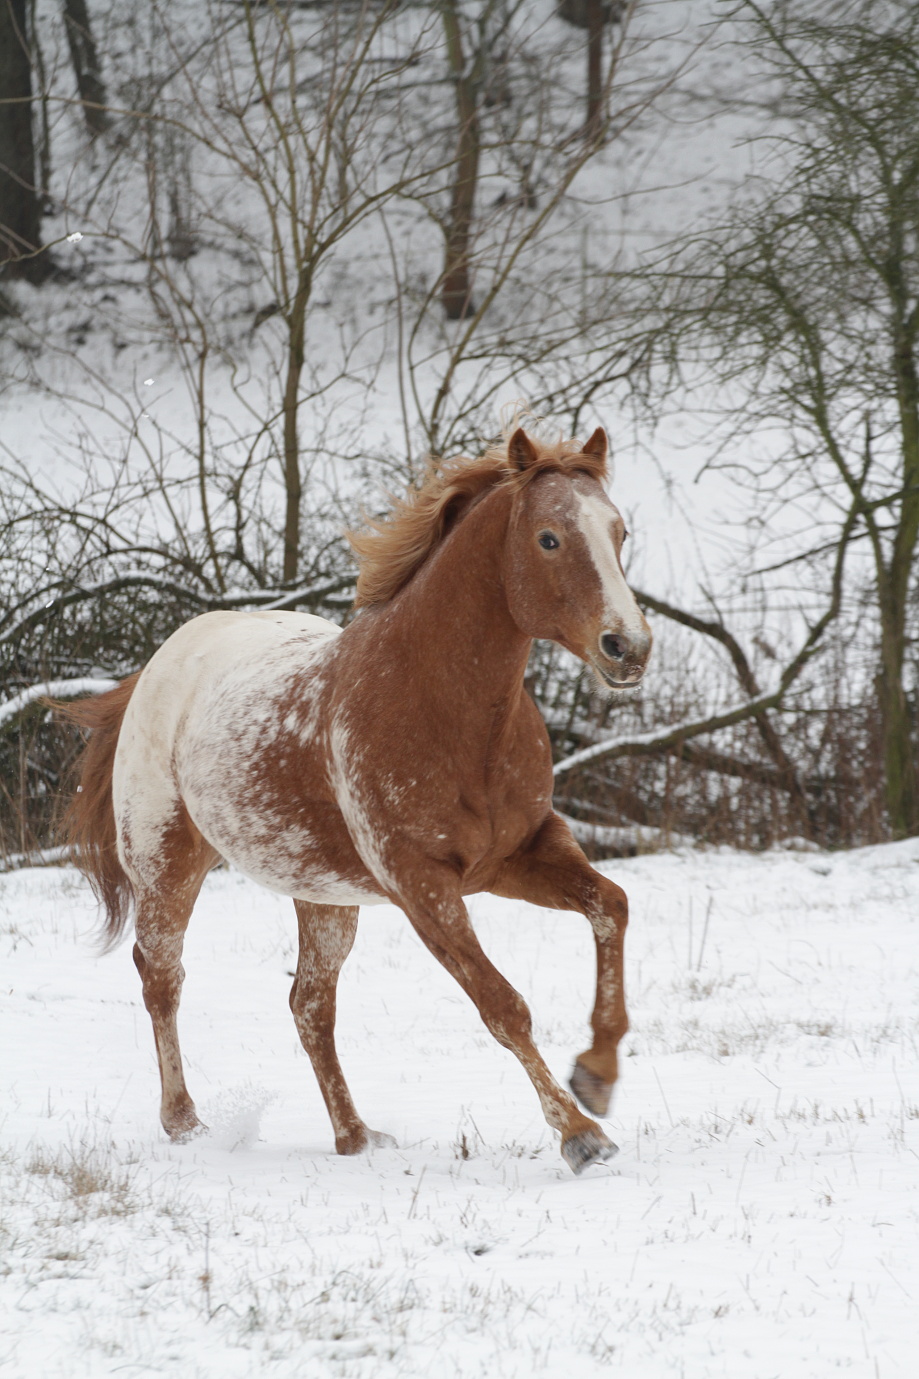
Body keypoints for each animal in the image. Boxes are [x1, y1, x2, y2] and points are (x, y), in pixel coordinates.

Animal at [62, 424, 651, 1169]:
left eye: (620, 530)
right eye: (549, 538)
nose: (628, 646)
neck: (445, 707)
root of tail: (156, 667)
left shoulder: (518, 857)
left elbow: (612, 906)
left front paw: (596, 1076)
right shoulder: (421, 884)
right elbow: (502, 1004)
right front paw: (579, 1134)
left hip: (324, 897)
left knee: (309, 1005)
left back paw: (356, 1136)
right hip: (167, 864)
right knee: (161, 977)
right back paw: (184, 1121)